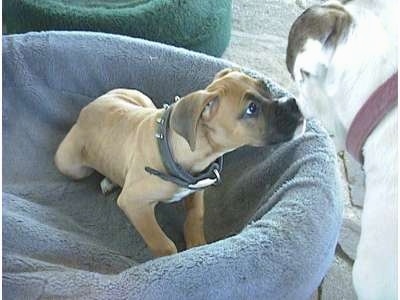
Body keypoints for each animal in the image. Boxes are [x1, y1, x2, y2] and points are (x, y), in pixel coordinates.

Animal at [54, 69, 304, 256]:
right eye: (251, 109)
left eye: (266, 87)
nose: (295, 104)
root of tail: (88, 108)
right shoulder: (134, 204)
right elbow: (163, 244)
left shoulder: (199, 187)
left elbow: (196, 216)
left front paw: (197, 245)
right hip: (71, 166)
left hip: (143, 100)